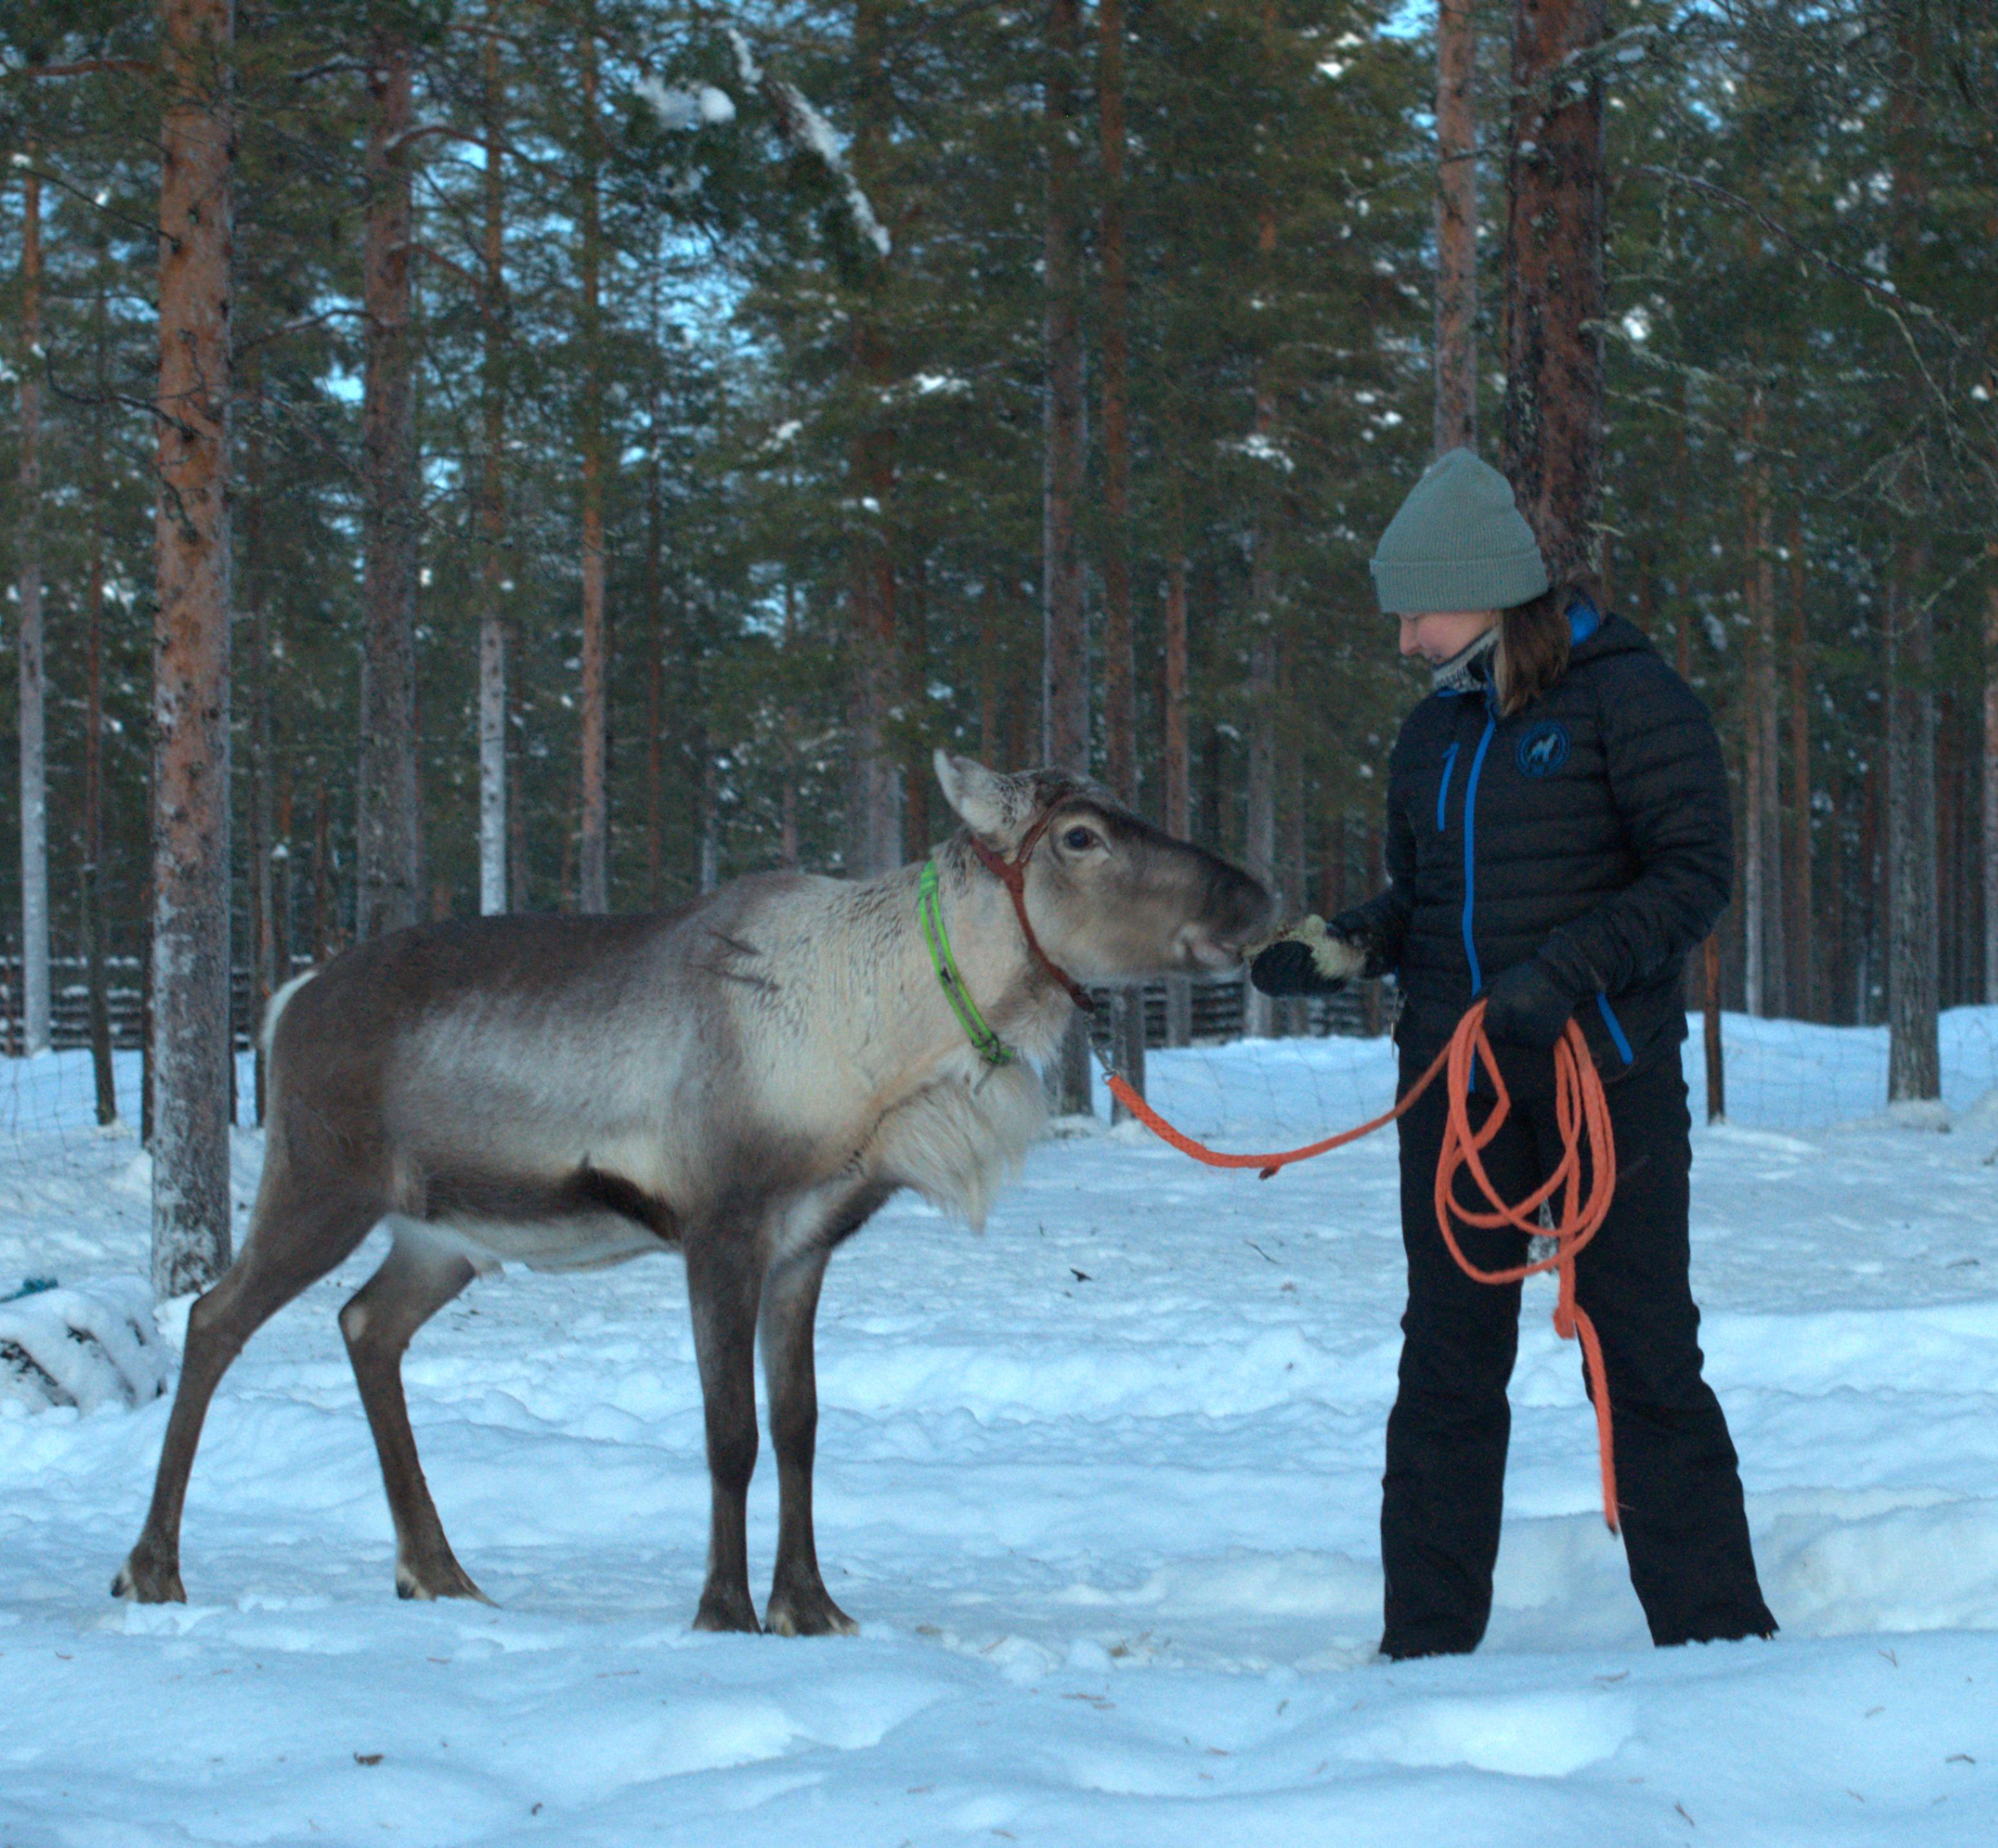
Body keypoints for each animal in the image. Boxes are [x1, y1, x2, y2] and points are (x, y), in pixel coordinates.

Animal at [113, 753, 1269, 1635]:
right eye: (1081, 835)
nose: (1251, 895)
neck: (888, 1044)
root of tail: (286, 1000)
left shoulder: (807, 1243)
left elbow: (800, 1422)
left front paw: (812, 1605)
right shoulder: (721, 1226)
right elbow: (731, 1431)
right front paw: (724, 1608)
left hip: (444, 1236)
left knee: (365, 1325)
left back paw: (436, 1569)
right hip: (322, 1181)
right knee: (216, 1318)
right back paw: (154, 1567)